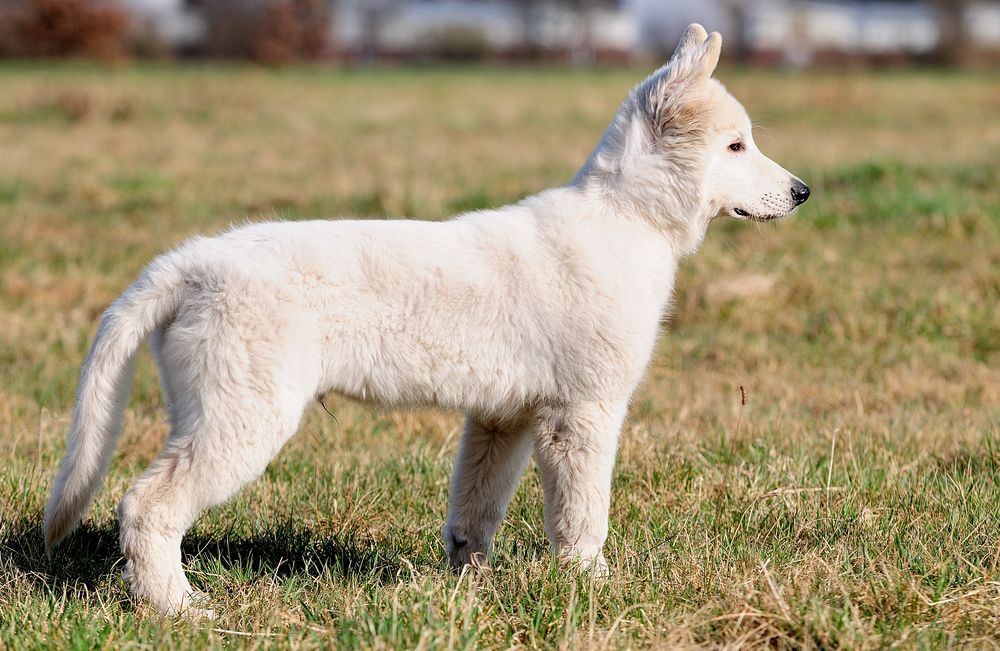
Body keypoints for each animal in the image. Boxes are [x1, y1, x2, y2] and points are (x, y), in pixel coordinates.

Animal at [47, 25, 808, 616]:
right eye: (736, 147)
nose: (802, 192)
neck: (625, 220)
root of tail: (187, 264)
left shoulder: (505, 417)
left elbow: (475, 508)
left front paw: (472, 585)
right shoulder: (583, 411)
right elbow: (583, 515)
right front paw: (591, 585)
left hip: (206, 408)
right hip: (242, 416)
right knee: (147, 506)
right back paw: (178, 606)